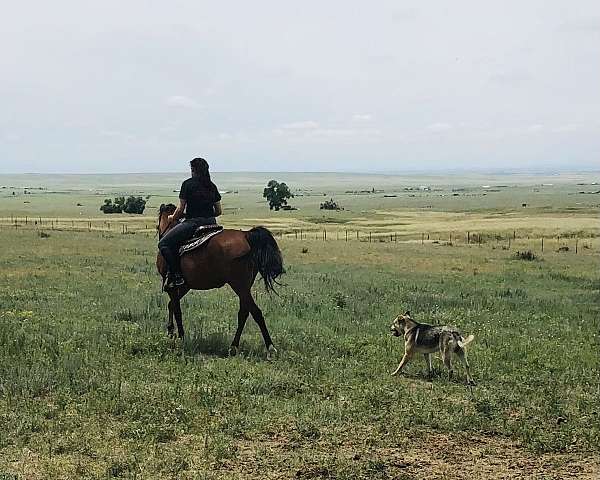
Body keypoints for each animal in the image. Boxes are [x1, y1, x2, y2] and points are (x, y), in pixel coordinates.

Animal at [157, 202, 284, 356]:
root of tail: (246, 235)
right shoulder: (183, 286)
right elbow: (172, 305)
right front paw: (171, 332)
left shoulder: (171, 286)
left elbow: (177, 310)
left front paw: (180, 336)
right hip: (244, 287)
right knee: (244, 313)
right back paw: (234, 346)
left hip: (239, 285)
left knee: (256, 312)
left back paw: (270, 347)